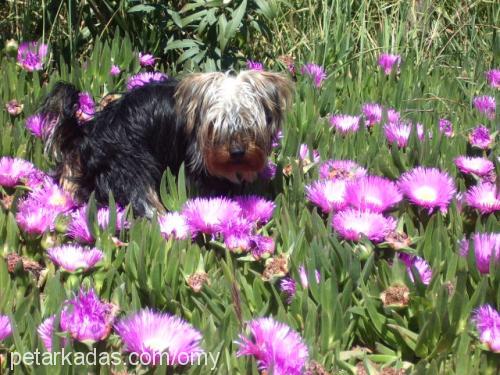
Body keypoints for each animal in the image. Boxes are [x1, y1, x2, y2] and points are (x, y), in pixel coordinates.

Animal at [36, 71, 292, 217]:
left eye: (249, 125)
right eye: (214, 128)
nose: (237, 152)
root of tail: (89, 133)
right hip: (130, 167)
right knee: (146, 202)